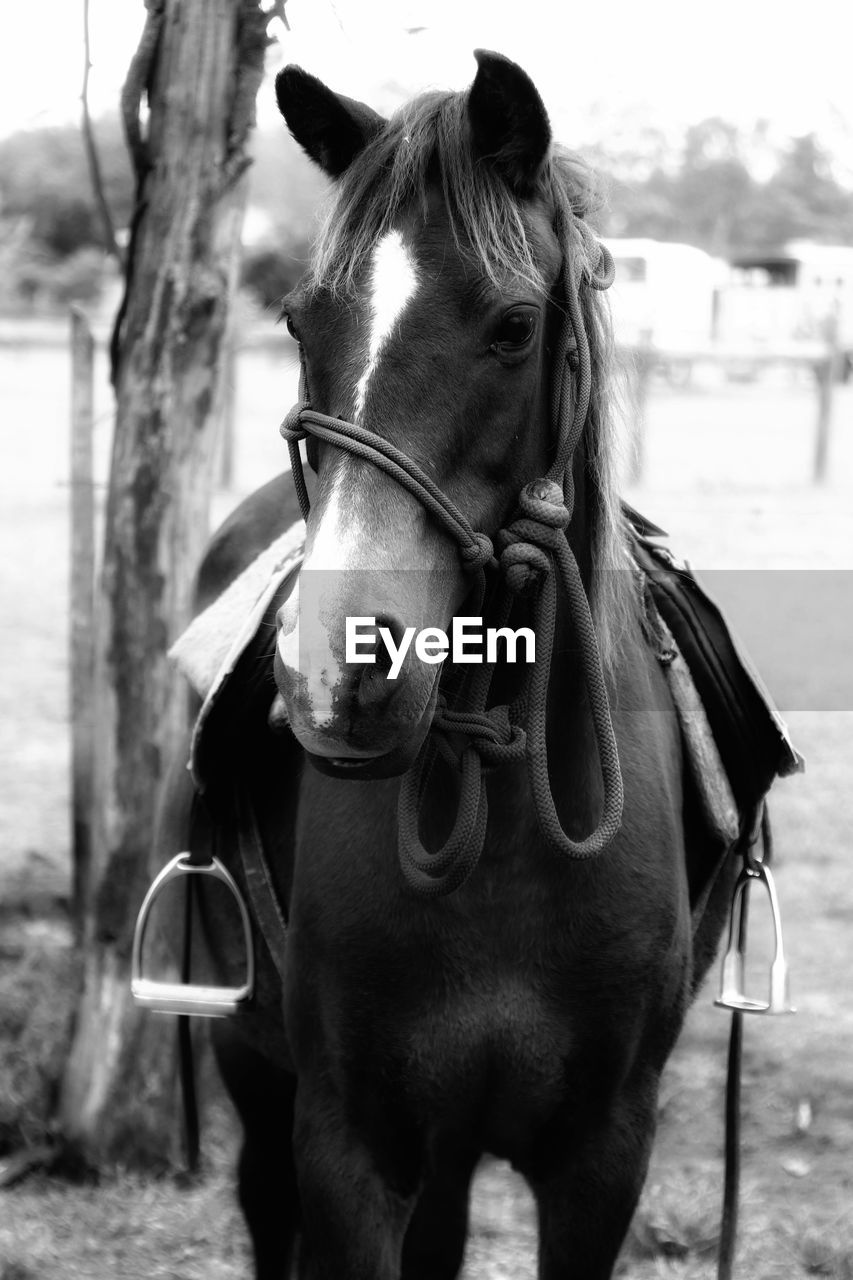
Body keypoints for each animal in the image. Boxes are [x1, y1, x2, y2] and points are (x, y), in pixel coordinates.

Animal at [162, 49, 732, 1280]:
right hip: (258, 1074)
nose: (338, 670)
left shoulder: (601, 1158)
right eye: (301, 319)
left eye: (514, 327)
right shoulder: (347, 1143)